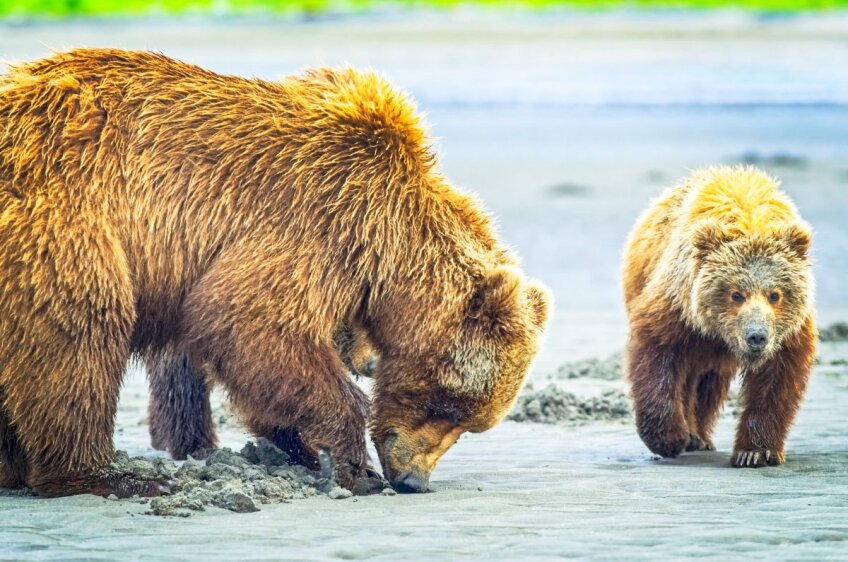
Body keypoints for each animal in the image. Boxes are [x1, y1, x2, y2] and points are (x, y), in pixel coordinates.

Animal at [0, 49, 548, 494]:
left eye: (471, 423)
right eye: (449, 404)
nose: (413, 479)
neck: (390, 240)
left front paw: (297, 445)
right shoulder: (322, 217)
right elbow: (250, 321)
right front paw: (356, 467)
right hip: (63, 223)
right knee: (79, 336)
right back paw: (106, 475)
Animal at [624, 165, 816, 464]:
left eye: (775, 294)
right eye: (736, 294)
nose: (756, 336)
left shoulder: (789, 334)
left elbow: (776, 380)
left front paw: (756, 452)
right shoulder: (680, 306)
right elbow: (656, 355)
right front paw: (670, 438)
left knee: (708, 384)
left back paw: (700, 436)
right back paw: (692, 436)